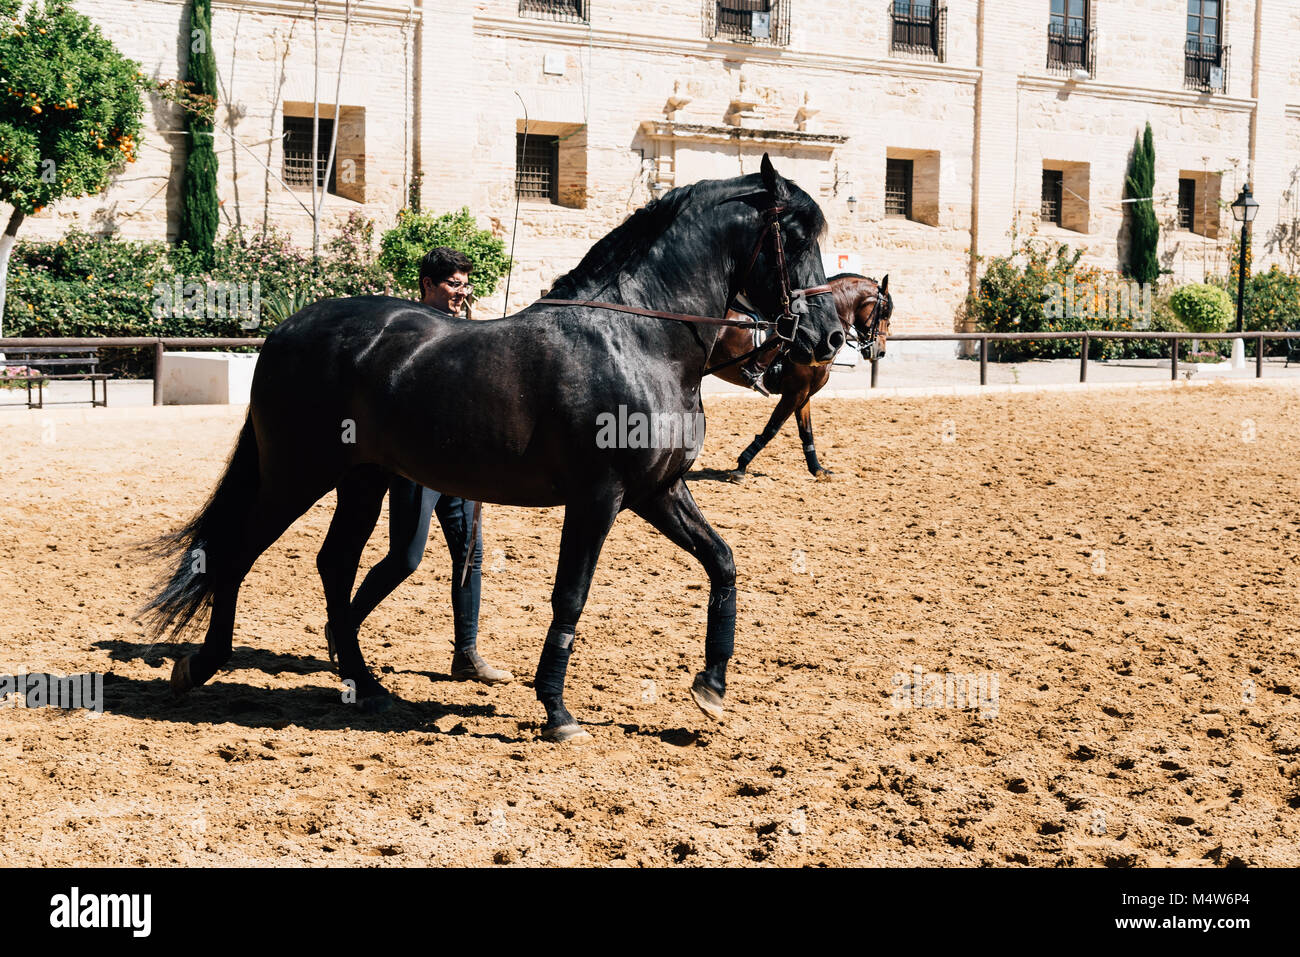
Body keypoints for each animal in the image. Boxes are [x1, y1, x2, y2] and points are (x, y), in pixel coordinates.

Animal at [143, 154, 845, 744]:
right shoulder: (598, 499)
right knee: (238, 552)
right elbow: (571, 596)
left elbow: (722, 562)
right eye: (796, 237)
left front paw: (711, 687)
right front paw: (558, 712)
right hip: (296, 474)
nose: (829, 337)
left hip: (362, 481)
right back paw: (199, 667)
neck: (639, 339)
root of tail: (286, 330)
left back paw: (366, 686)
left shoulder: (657, 491)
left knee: (334, 566)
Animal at [710, 273, 891, 481]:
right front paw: (741, 465)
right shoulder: (794, 393)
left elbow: (806, 432)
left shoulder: (805, 393)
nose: (880, 351)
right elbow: (771, 429)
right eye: (884, 313)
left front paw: (818, 469)